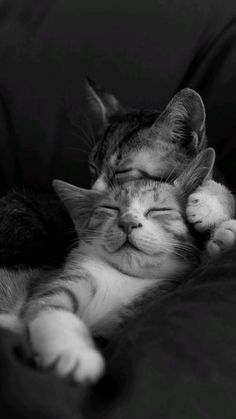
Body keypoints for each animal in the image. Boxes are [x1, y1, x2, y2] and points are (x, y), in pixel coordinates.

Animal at [0, 148, 223, 384]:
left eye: (159, 210)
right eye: (110, 209)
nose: (127, 222)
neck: (123, 276)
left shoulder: (127, 315)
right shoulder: (59, 282)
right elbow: (50, 309)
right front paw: (72, 351)